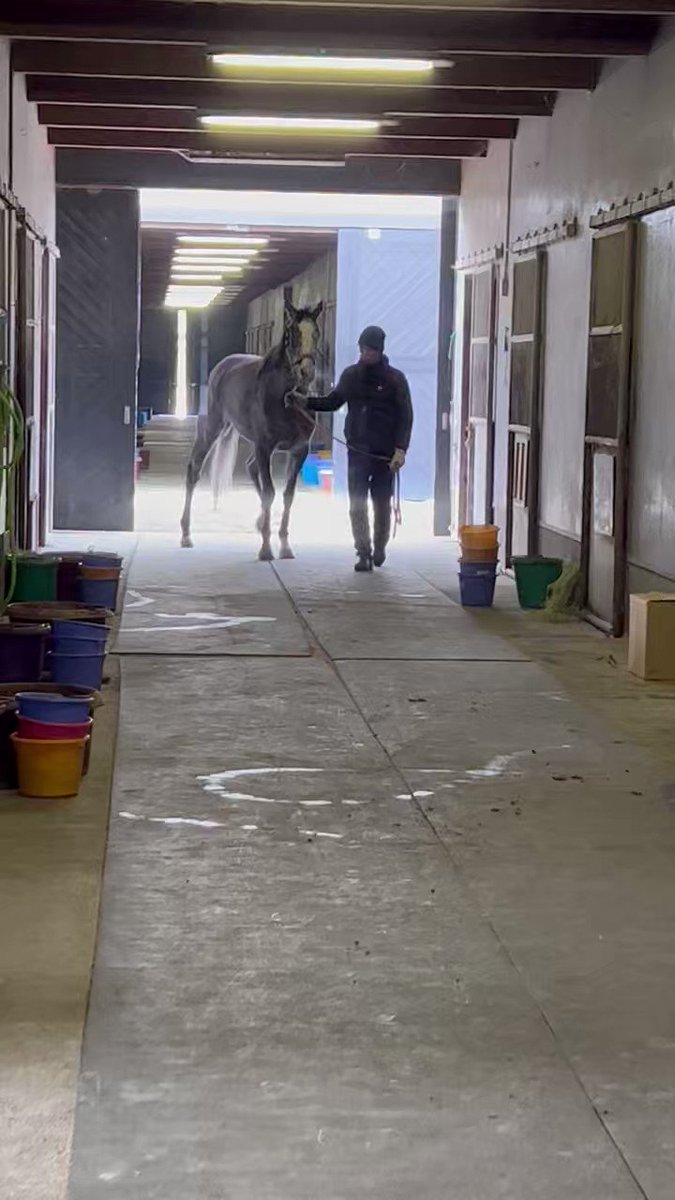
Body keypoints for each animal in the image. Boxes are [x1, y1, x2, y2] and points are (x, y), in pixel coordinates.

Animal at [178, 300, 319, 561]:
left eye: (315, 333)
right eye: (292, 335)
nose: (306, 373)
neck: (285, 398)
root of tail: (222, 367)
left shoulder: (299, 450)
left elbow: (288, 494)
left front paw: (285, 546)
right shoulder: (264, 446)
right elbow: (270, 492)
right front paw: (266, 549)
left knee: (251, 468)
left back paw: (260, 521)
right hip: (214, 427)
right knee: (194, 470)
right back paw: (186, 534)